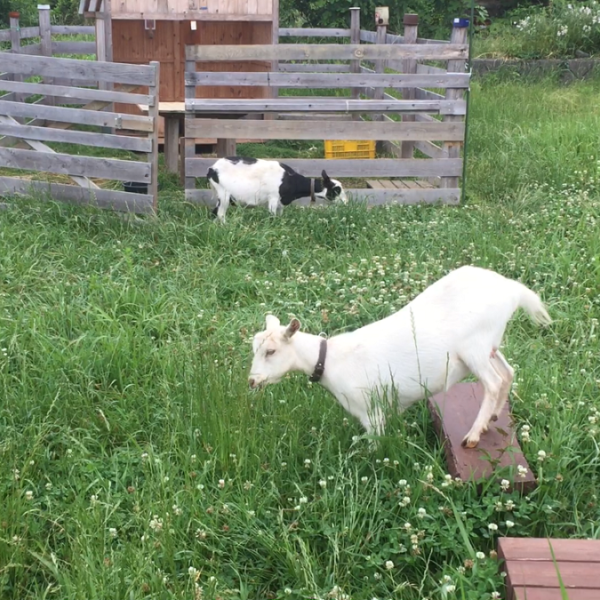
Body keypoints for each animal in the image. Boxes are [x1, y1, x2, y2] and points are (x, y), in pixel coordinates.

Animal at [207, 156, 348, 222]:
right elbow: (272, 217)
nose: (346, 202)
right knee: (220, 214)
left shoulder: (281, 203)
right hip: (224, 194)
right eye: (336, 189)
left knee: (214, 213)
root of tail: (212, 169)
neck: (289, 179)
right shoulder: (273, 198)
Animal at [248, 265, 551, 448]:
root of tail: (512, 289)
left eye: (271, 351)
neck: (331, 359)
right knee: (508, 372)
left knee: (493, 382)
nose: (252, 381)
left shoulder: (371, 411)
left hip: (474, 347)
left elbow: (374, 445)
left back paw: (473, 436)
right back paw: (492, 418)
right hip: (489, 345)